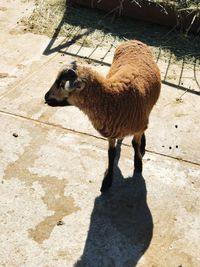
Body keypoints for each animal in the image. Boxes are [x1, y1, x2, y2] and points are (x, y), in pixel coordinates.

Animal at [45, 40, 161, 193]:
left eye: (61, 84)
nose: (45, 97)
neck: (115, 97)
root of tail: (133, 41)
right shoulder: (111, 131)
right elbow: (111, 153)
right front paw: (107, 180)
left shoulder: (136, 126)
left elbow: (135, 144)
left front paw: (138, 164)